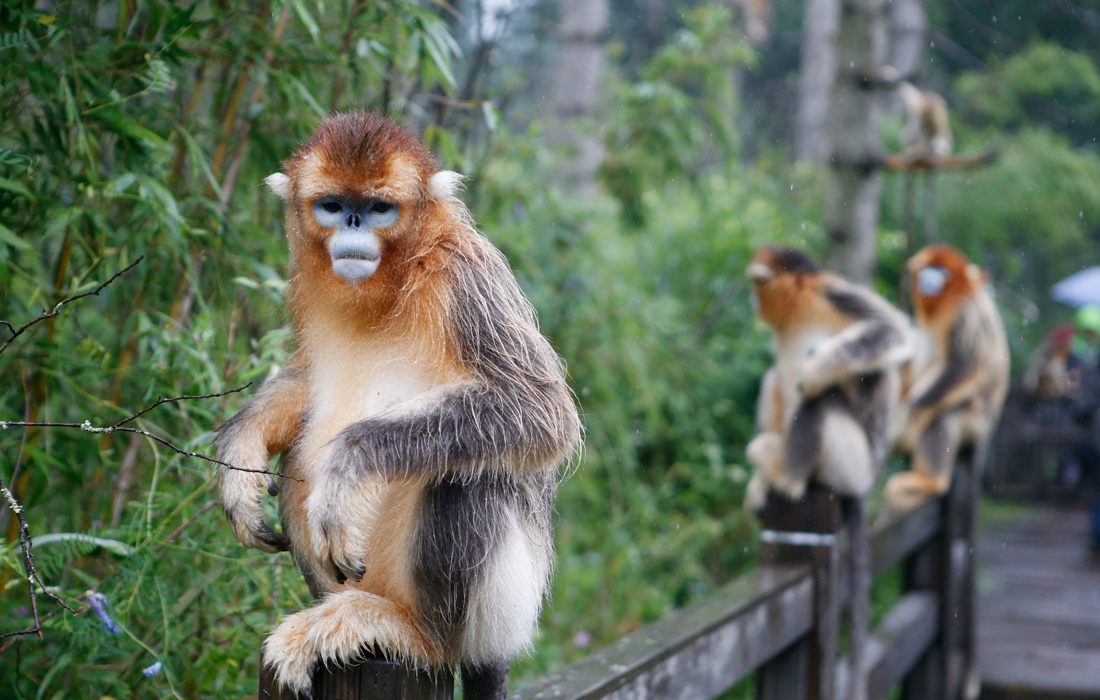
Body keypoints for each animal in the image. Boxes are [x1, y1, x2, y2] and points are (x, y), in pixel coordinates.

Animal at [743, 246, 915, 508]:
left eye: (757, 284)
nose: (753, 300)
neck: (799, 307)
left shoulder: (831, 292)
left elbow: (893, 330)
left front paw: (814, 374)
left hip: (853, 471)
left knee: (821, 400)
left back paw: (789, 480)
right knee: (773, 378)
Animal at [884, 244, 1007, 508]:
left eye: (942, 271)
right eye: (928, 267)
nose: (929, 277)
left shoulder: (965, 312)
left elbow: (963, 364)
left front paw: (910, 415)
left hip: (976, 423)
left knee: (941, 416)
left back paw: (930, 482)